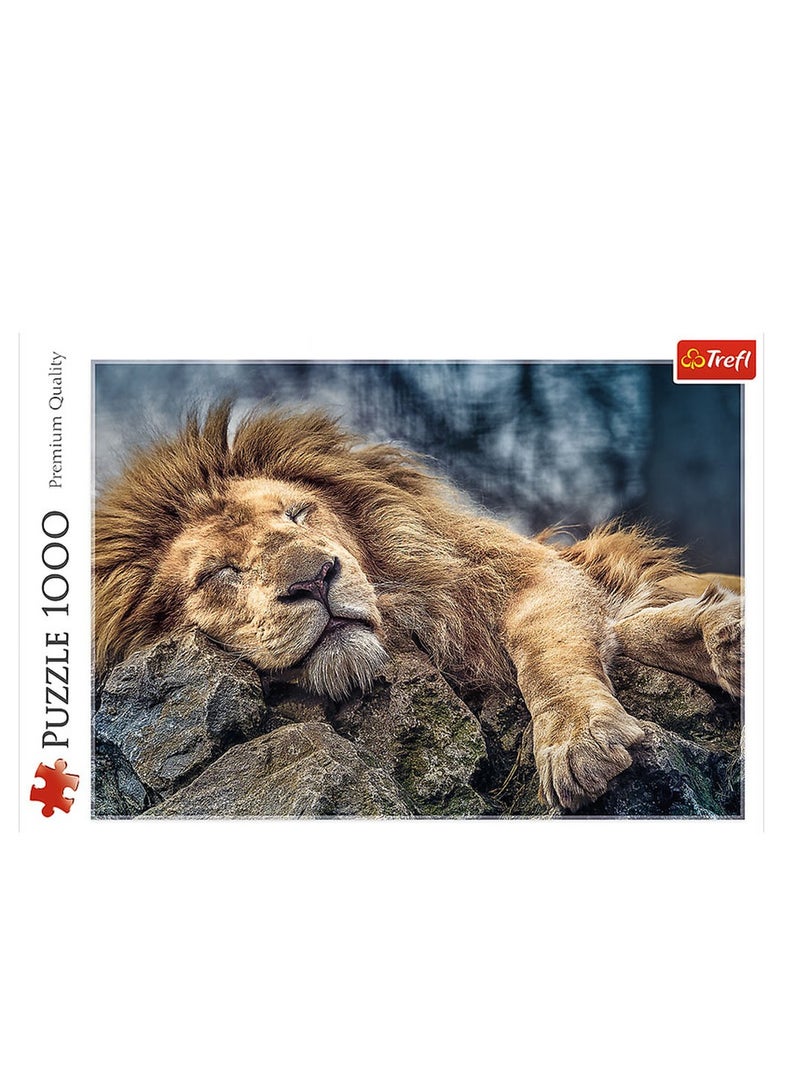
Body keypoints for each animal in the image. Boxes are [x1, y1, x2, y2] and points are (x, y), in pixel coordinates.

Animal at [93, 403, 742, 812]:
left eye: (298, 514)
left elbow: (548, 652)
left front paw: (578, 739)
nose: (317, 579)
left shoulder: (532, 574)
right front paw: (711, 635)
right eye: (219, 573)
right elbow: (629, 628)